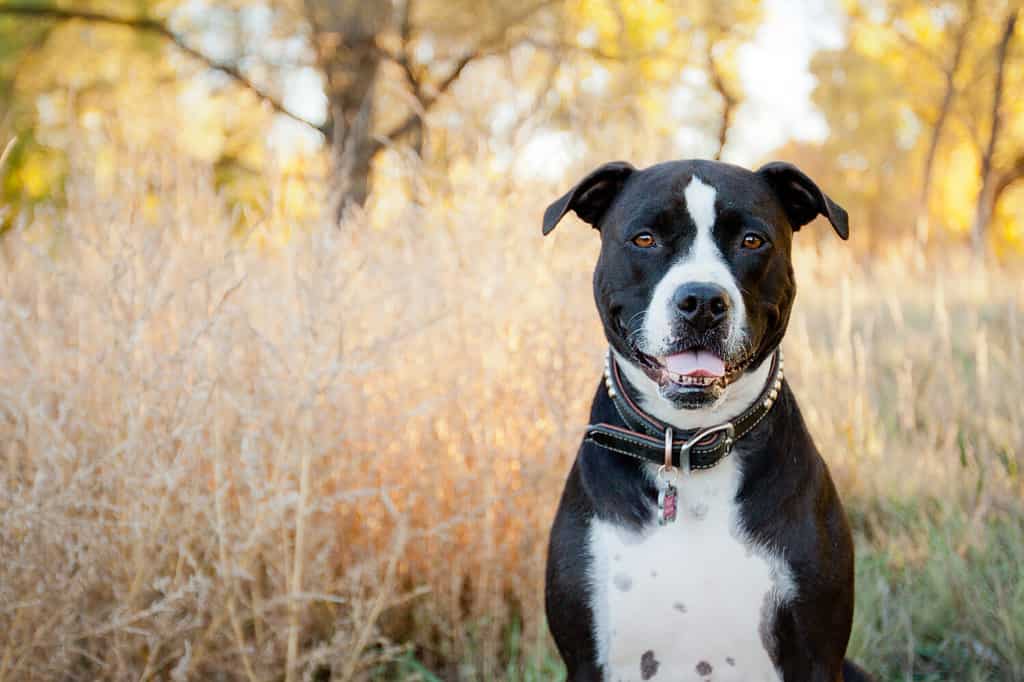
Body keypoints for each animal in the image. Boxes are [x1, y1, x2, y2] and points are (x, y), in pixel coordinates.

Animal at [540, 160, 868, 679]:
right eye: (645, 239)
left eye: (752, 241)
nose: (701, 301)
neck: (688, 441)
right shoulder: (588, 658)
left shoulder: (818, 655)